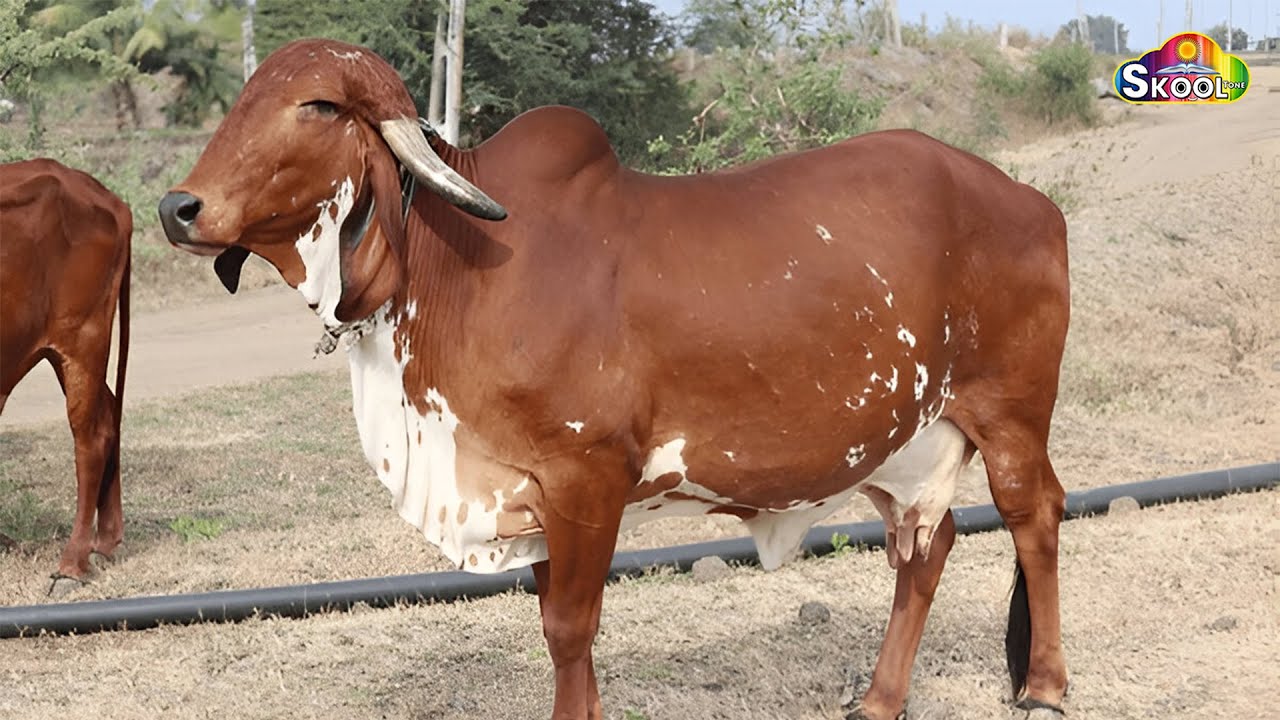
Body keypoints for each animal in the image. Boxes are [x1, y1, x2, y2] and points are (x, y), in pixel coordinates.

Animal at [159, 39, 1070, 720]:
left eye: (316, 105)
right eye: (243, 96)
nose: (178, 208)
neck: (456, 267)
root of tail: (1030, 199)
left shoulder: (586, 476)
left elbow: (570, 625)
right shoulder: (527, 491)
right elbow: (553, 620)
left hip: (1010, 416)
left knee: (1035, 518)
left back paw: (1044, 687)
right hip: (906, 441)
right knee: (926, 547)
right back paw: (882, 698)